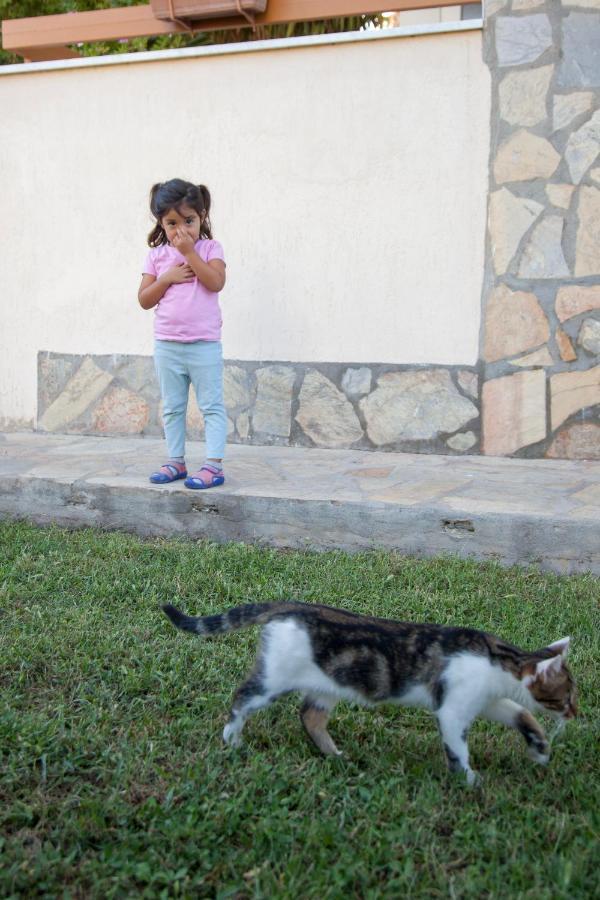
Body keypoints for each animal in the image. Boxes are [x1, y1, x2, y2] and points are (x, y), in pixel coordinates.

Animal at [163, 600, 576, 784]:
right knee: (242, 697)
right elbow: (458, 748)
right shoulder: (453, 709)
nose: (576, 713)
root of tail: (291, 606)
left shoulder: (486, 700)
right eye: (569, 696)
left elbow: (522, 713)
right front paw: (470, 780)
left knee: (310, 716)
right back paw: (232, 739)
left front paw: (539, 748)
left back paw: (335, 756)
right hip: (273, 679)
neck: (498, 658)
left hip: (328, 683)